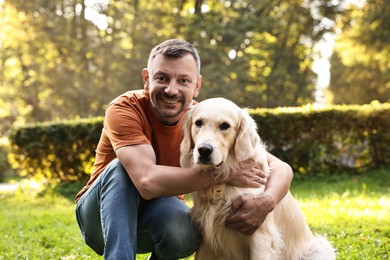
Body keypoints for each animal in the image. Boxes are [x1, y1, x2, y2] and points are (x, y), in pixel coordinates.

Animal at [180, 98, 336, 260]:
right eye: (198, 123)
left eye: (225, 126)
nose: (204, 150)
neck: (221, 182)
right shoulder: (207, 238)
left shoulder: (261, 237)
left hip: (318, 249)